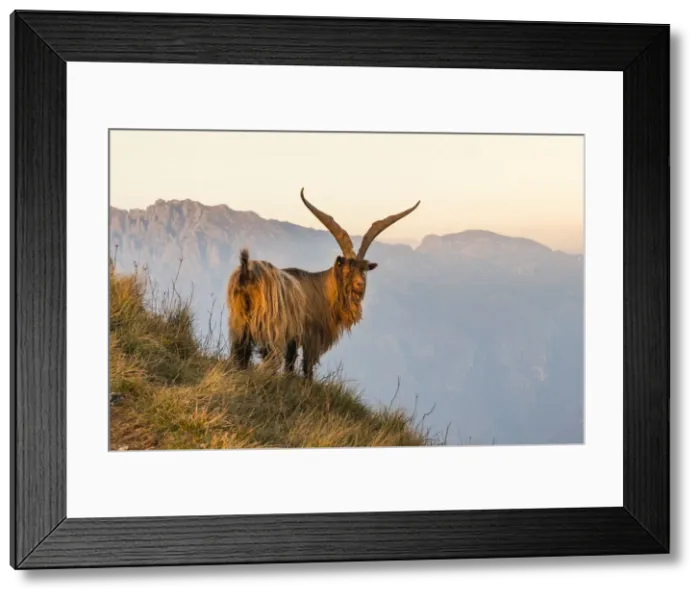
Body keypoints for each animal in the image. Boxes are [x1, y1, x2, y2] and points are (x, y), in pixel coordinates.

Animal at [226, 187, 420, 380]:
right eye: (346, 270)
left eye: (363, 270)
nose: (359, 284)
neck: (322, 289)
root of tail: (247, 272)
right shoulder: (311, 334)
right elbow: (306, 365)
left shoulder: (294, 337)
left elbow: (290, 363)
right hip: (270, 329)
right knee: (269, 360)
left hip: (240, 324)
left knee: (240, 356)